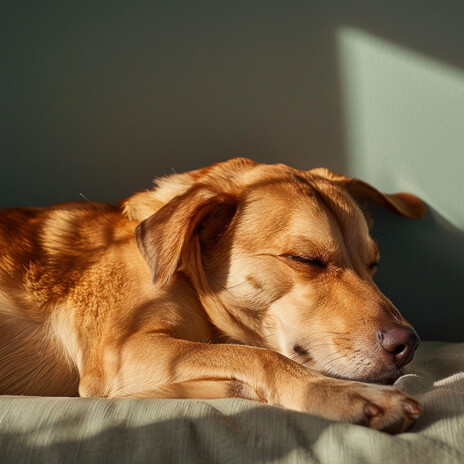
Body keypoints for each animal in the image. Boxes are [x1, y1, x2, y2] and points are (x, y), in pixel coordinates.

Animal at [0, 160, 424, 436]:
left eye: (373, 264)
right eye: (306, 259)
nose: (408, 344)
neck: (184, 273)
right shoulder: (119, 352)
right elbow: (260, 357)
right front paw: (340, 394)